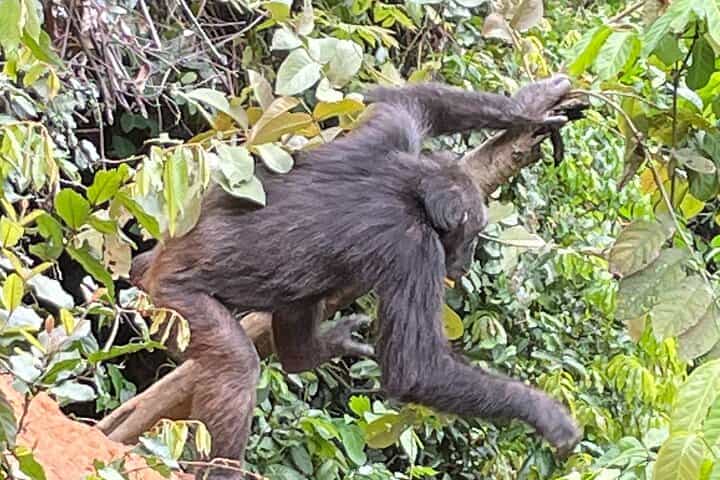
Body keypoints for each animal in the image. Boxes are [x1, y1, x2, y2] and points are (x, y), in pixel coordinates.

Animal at [130, 75, 582, 479]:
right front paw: (544, 411)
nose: (468, 260)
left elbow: (406, 100)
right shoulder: (417, 249)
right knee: (235, 365)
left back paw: (307, 352)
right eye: (472, 234)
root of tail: (156, 263)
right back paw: (221, 469)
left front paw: (532, 104)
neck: (411, 192)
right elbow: (416, 368)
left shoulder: (391, 135)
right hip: (176, 301)